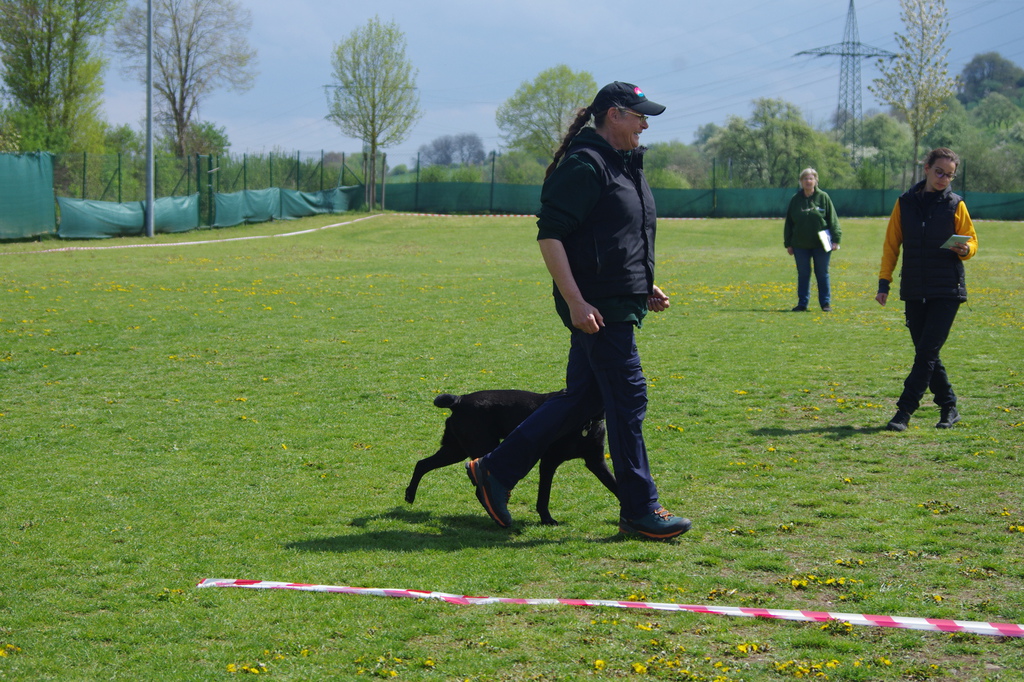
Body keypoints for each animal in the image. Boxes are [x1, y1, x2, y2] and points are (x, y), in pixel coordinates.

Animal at [404, 389, 617, 525]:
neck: (587, 420)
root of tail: (460, 400)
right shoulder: (548, 463)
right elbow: (544, 495)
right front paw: (547, 519)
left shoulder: (596, 461)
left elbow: (616, 486)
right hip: (481, 447)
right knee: (481, 484)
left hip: (455, 450)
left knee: (422, 464)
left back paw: (410, 495)